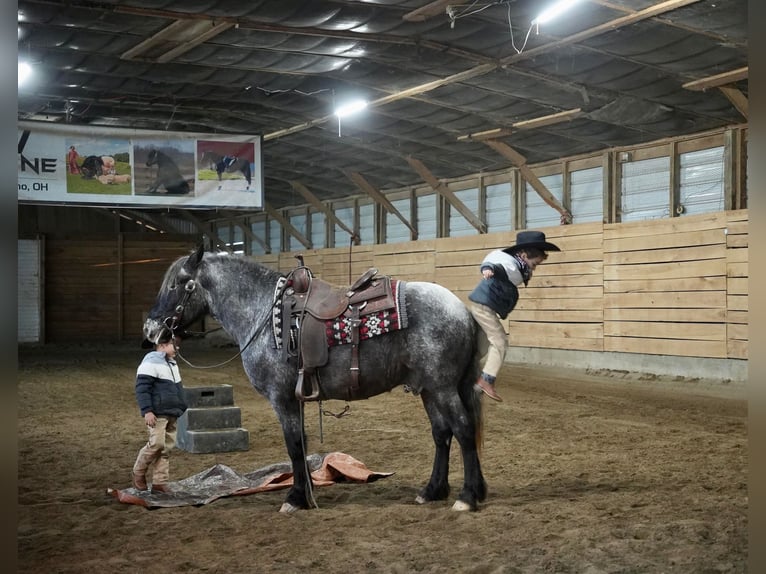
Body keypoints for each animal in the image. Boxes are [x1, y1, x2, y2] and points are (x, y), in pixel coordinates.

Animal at [146, 248, 486, 512]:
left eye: (178, 284)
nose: (151, 329)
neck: (263, 313)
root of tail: (461, 310)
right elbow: (301, 444)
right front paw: (306, 493)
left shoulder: (282, 398)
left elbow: (295, 446)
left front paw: (296, 498)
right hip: (429, 389)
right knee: (442, 434)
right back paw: (433, 490)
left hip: (443, 387)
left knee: (463, 429)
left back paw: (468, 496)